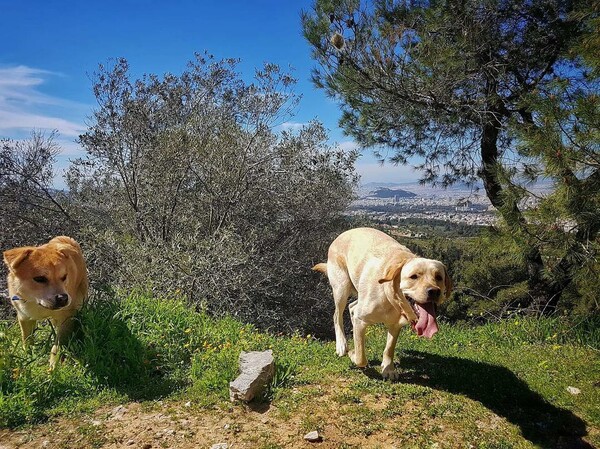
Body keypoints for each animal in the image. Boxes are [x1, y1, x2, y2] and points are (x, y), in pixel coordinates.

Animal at [2, 236, 88, 366]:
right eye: (39, 278)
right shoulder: (24, 316)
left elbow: (58, 344)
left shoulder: (66, 318)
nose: (63, 298)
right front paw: (27, 354)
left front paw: (54, 363)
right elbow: (26, 337)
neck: (37, 304)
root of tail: (65, 239)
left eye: (64, 277)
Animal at [314, 228, 450, 378]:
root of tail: (343, 233)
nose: (434, 291)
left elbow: (389, 348)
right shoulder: (361, 320)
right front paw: (353, 355)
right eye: (414, 276)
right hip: (341, 288)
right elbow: (361, 357)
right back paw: (342, 345)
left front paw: (388, 369)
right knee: (337, 315)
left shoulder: (395, 325)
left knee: (352, 307)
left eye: (438, 277)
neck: (391, 300)